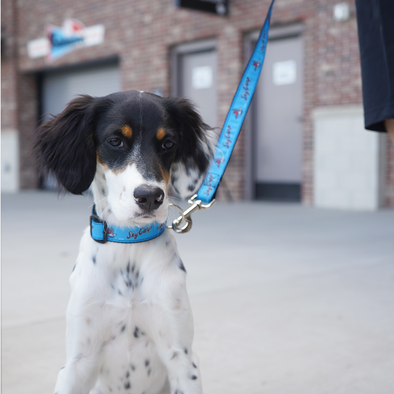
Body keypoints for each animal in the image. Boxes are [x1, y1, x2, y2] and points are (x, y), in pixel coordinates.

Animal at [35, 90, 215, 394]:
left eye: (168, 143)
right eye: (115, 141)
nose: (150, 197)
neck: (129, 247)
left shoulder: (182, 357)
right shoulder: (77, 362)